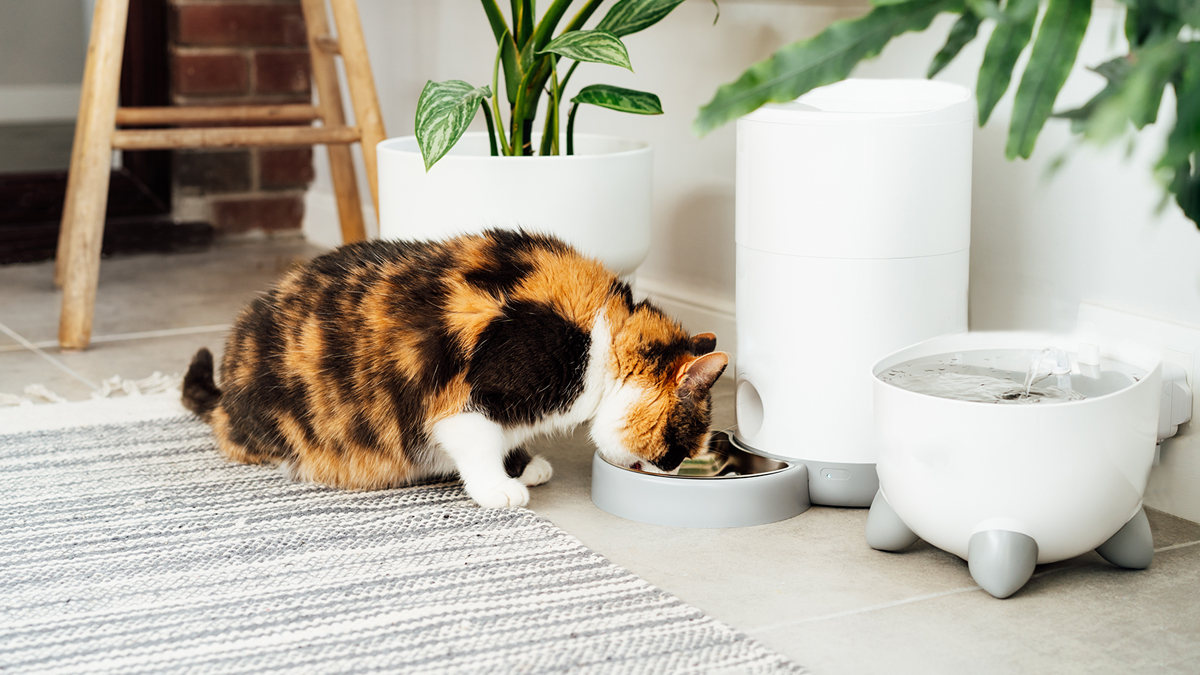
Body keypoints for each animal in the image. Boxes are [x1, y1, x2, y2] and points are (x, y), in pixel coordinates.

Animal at [182, 227, 724, 504]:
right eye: (679, 447)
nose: (675, 472)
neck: (601, 330)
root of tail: (225, 394)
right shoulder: (473, 394)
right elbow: (478, 439)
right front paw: (498, 488)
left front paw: (522, 465)